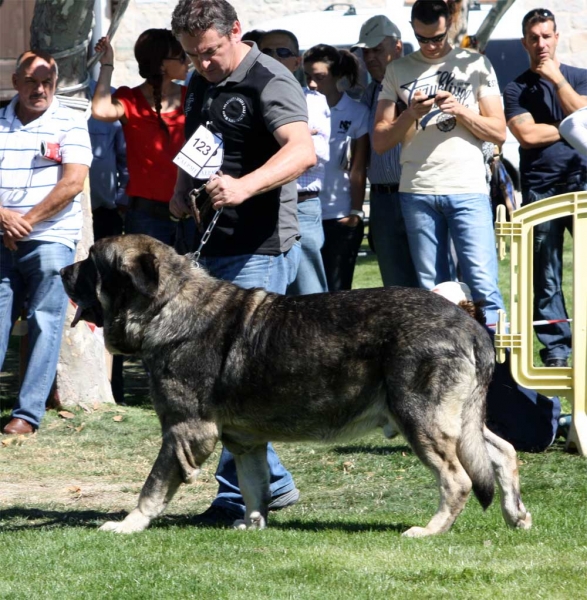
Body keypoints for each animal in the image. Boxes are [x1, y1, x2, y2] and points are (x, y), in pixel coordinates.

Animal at [60, 233, 532, 536]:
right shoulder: (245, 442)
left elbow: (153, 487)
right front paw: (253, 525)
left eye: (91, 261)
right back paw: (516, 515)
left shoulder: (185, 432)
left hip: (420, 419)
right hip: (456, 420)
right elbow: (253, 486)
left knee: (458, 479)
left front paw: (128, 525)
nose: (63, 269)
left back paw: (431, 530)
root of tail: (470, 324)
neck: (166, 306)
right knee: (501, 452)